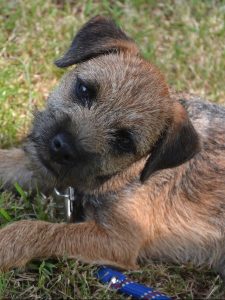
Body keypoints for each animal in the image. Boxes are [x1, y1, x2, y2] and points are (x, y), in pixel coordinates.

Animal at [0, 16, 225, 278]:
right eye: (84, 90)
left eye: (124, 140)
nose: (62, 146)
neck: (131, 172)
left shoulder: (118, 239)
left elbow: (41, 230)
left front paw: (5, 243)